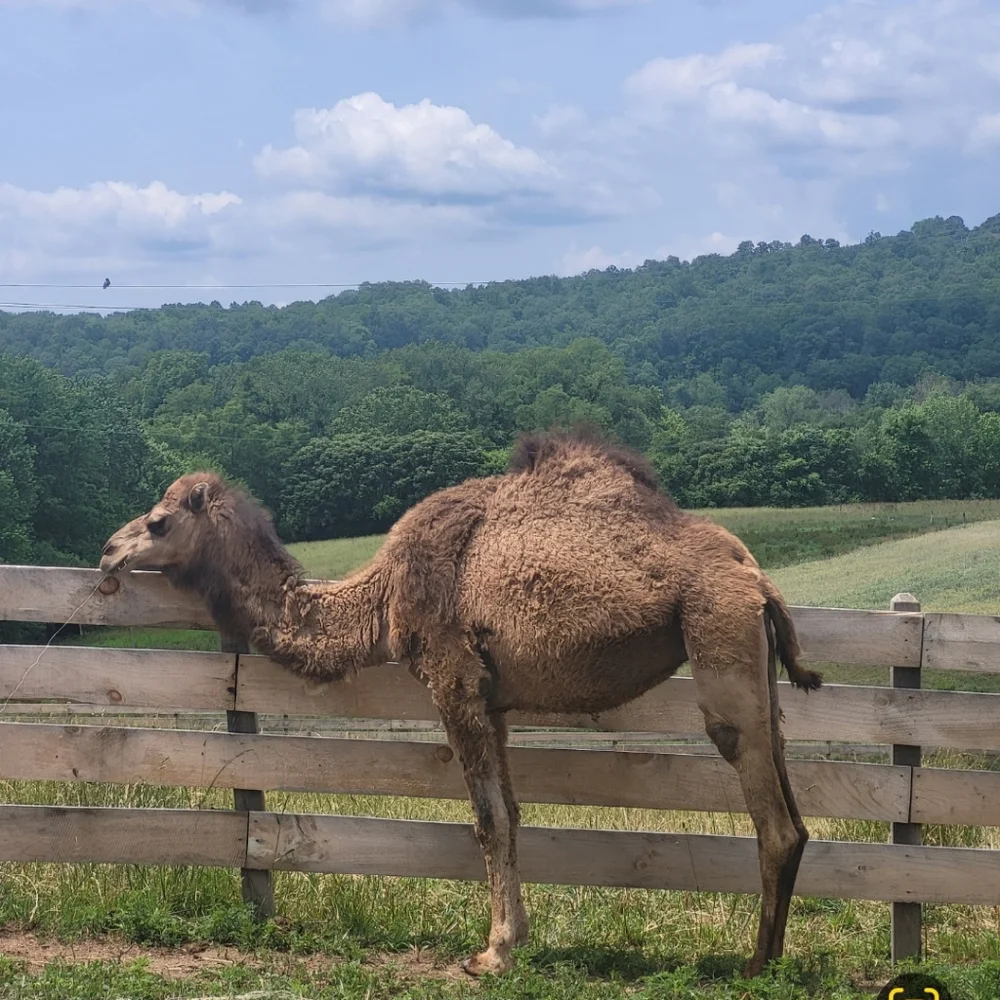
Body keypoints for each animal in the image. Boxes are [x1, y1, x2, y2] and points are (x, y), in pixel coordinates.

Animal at [99, 427, 822, 979]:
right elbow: (514, 814)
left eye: (158, 521)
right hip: (753, 659)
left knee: (769, 808)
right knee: (789, 795)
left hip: (717, 631)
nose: (107, 551)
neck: (384, 598)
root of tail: (757, 578)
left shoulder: (453, 679)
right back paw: (771, 956)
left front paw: (492, 954)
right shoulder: (493, 700)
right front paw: (513, 938)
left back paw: (758, 966)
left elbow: (487, 818)